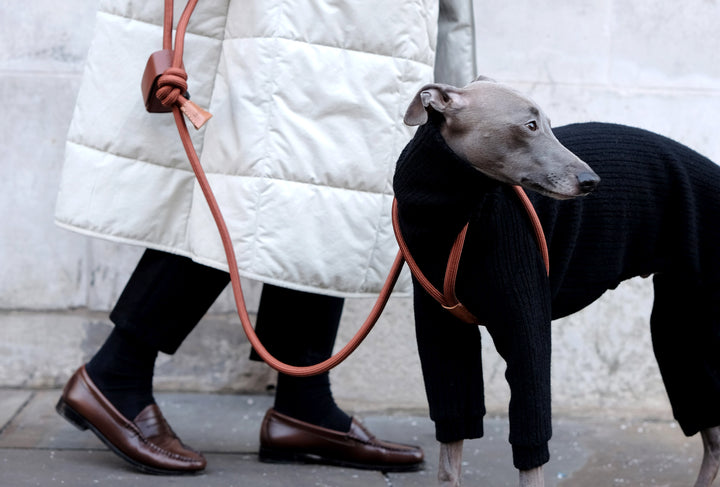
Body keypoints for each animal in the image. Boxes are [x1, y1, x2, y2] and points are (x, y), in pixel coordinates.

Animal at [390, 75, 720, 484]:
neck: (453, 217)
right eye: (530, 125)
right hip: (678, 329)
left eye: (548, 123)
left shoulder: (527, 326)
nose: (591, 181)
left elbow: (531, 448)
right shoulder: (443, 334)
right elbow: (450, 447)